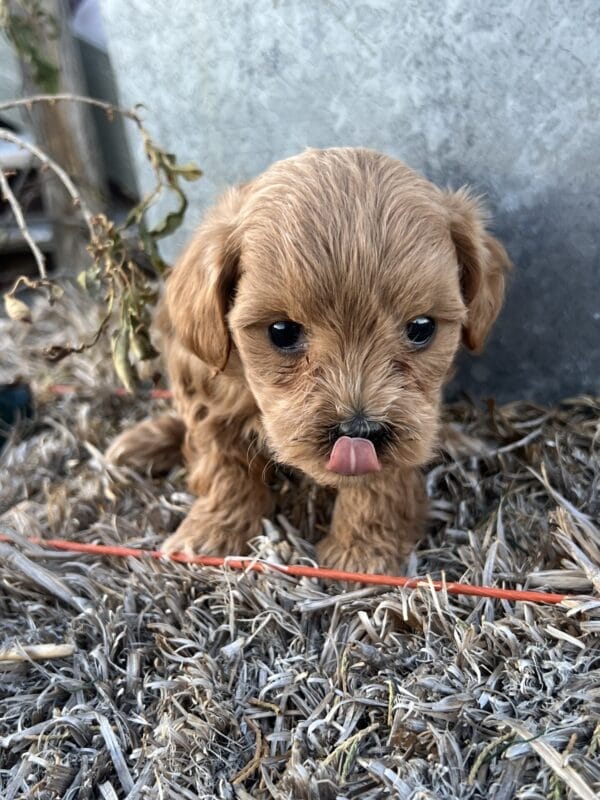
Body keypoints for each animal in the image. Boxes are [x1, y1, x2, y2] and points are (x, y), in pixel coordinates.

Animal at [108, 148, 510, 576]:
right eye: (282, 331)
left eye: (422, 327)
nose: (358, 431)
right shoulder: (208, 394)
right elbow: (223, 468)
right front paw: (211, 532)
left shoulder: (409, 418)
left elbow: (378, 481)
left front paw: (363, 550)